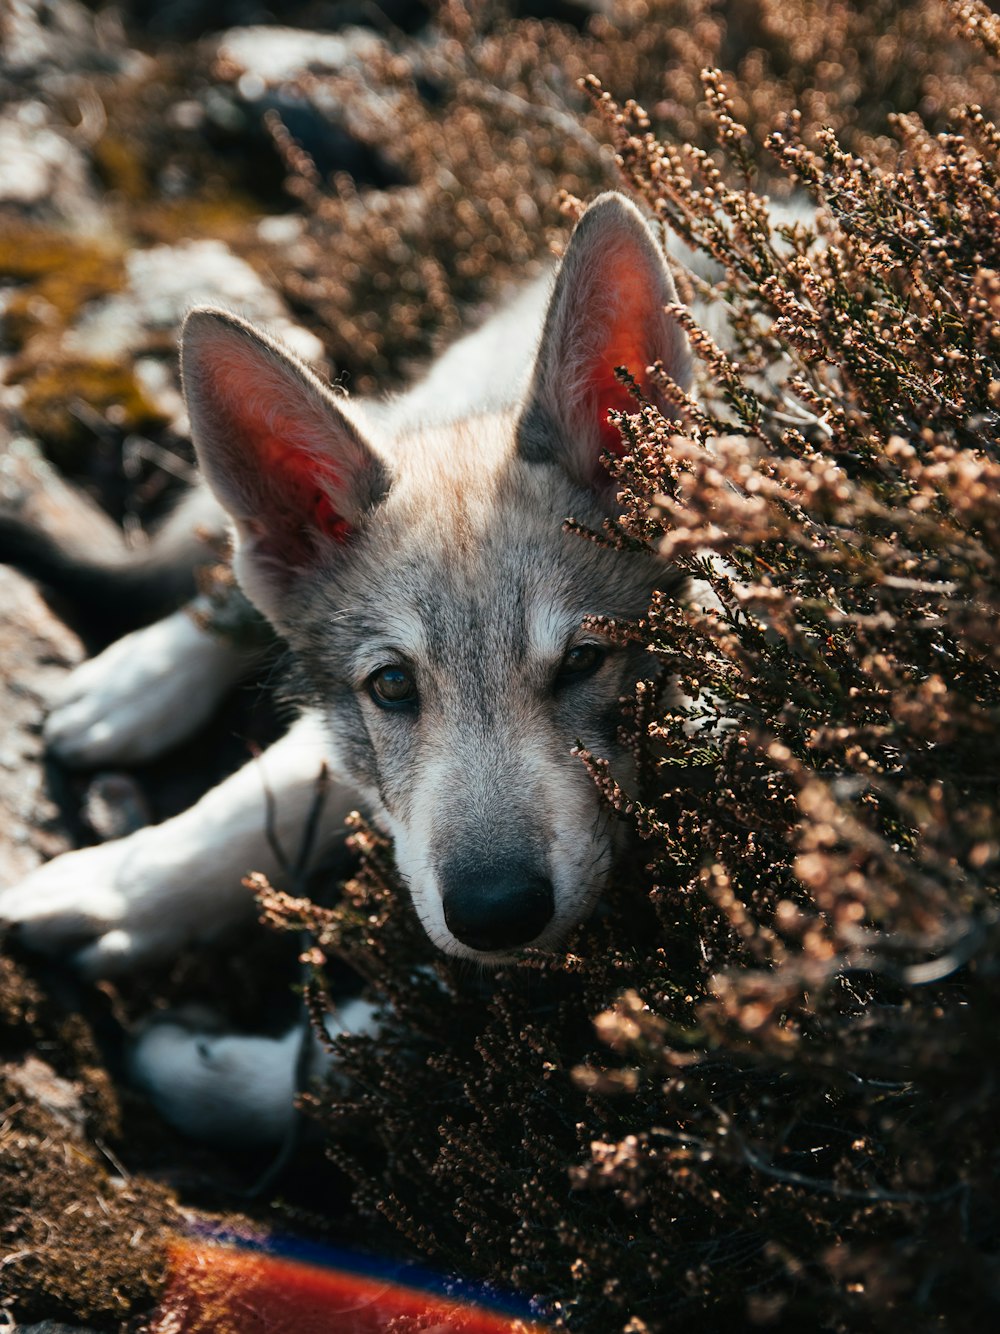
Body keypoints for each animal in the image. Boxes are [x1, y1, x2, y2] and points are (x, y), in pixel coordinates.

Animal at [0, 193, 693, 1141]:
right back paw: (137, 685)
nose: (496, 914)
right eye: (393, 686)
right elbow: (253, 802)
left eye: (586, 661)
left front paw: (198, 1066)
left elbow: (337, 1070)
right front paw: (113, 887)